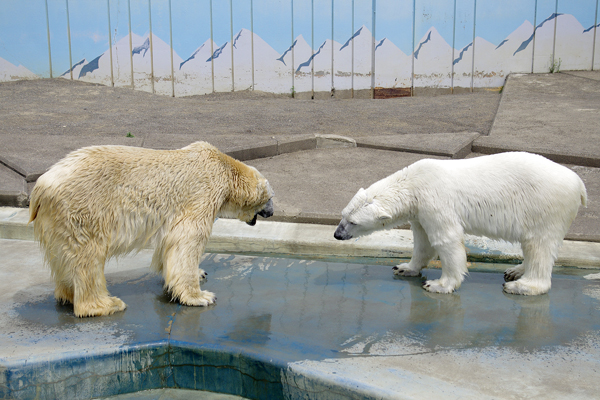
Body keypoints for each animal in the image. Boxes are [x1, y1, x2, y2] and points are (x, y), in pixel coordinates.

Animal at [29, 142, 274, 318]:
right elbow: (187, 240)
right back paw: (106, 304)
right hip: (84, 209)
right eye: (270, 198)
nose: (271, 212)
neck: (224, 167)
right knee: (88, 256)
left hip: (57, 219)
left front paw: (199, 273)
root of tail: (41, 186)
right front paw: (201, 296)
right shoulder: (203, 194)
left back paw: (68, 295)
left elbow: (169, 243)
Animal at [336, 152, 588, 296]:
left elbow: (446, 239)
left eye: (353, 222)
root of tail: (579, 183)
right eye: (343, 214)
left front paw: (439, 284)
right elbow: (422, 241)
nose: (337, 235)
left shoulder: (435, 201)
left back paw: (521, 286)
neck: (413, 183)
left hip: (545, 206)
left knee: (539, 245)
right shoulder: (420, 211)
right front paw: (405, 267)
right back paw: (514, 271)